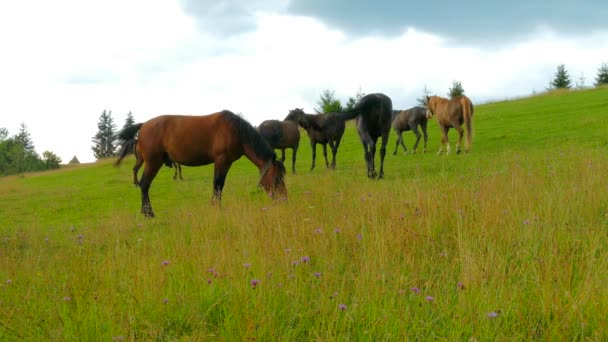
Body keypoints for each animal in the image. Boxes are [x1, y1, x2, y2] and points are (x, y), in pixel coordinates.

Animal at [116, 109, 288, 216]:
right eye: (277, 178)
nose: (284, 200)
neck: (236, 131)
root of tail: (143, 125)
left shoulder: (226, 163)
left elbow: (220, 185)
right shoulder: (221, 161)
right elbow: (217, 184)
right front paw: (216, 208)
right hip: (153, 162)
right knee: (144, 184)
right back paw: (149, 213)